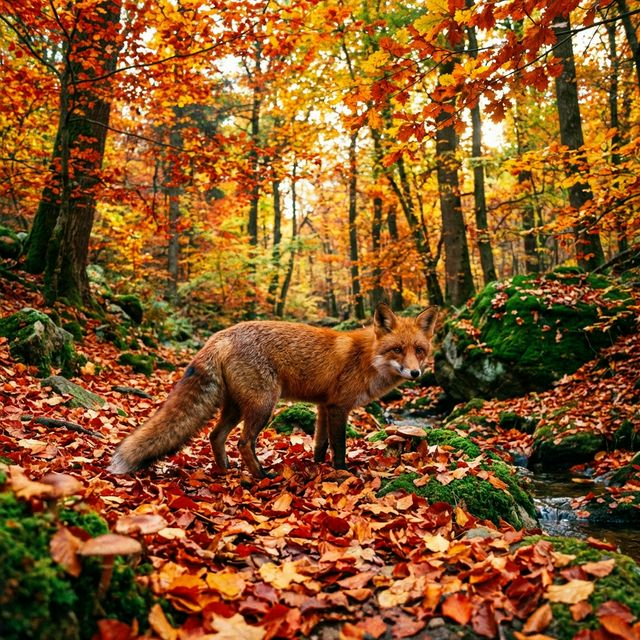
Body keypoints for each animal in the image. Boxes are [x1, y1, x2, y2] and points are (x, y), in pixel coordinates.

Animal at [108, 303, 438, 479]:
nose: (415, 373)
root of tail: (219, 335)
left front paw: (316, 468)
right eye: (397, 349)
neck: (367, 358)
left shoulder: (323, 406)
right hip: (264, 404)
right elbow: (340, 447)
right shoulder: (338, 408)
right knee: (243, 442)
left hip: (237, 407)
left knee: (216, 436)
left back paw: (225, 469)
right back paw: (259, 474)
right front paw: (341, 473)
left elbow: (320, 445)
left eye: (419, 350)